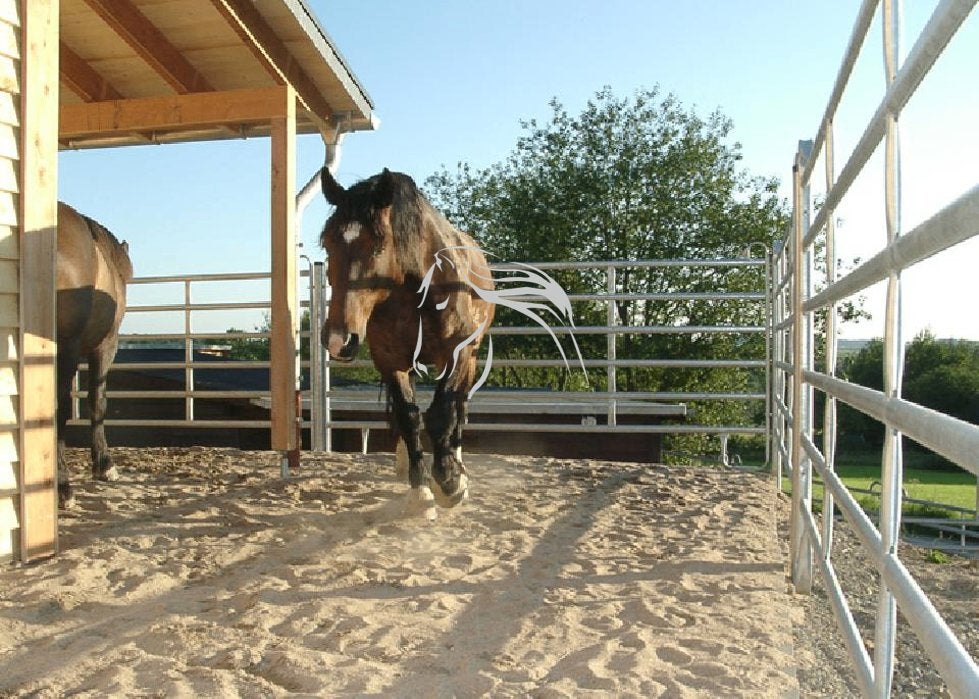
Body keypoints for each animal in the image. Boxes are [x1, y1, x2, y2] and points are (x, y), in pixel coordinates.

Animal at [319, 168, 495, 520]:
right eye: (328, 243)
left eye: (377, 245)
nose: (338, 340)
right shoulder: (389, 360)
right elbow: (408, 416)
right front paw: (421, 490)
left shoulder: (457, 355)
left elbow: (443, 414)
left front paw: (450, 482)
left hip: (471, 356)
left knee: (460, 406)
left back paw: (457, 464)